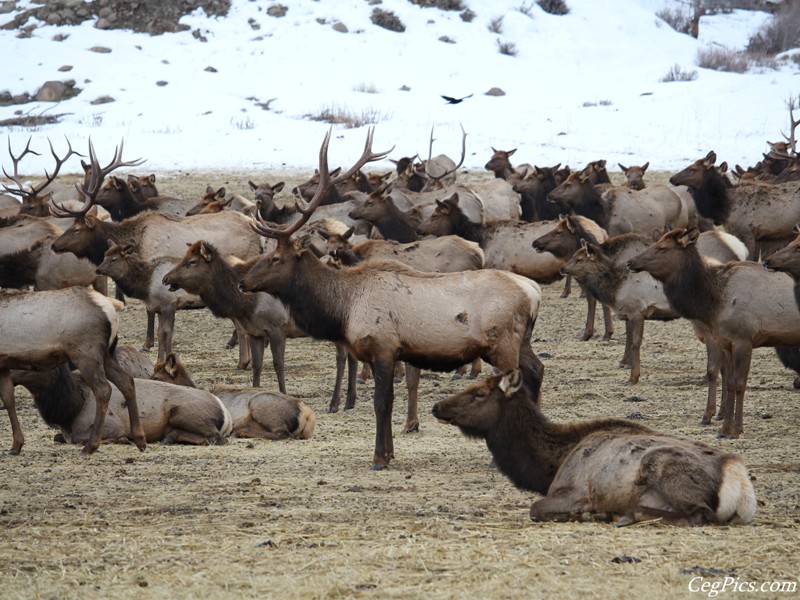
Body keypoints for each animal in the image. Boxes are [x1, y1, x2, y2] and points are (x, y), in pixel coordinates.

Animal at [0, 288, 145, 454]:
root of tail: (112, 306)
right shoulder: (2, 365)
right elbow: (8, 399)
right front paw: (16, 445)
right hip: (107, 354)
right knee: (127, 381)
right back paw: (140, 440)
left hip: (86, 354)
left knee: (103, 389)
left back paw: (90, 445)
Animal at [432, 366, 756, 524]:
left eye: (479, 393)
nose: (436, 406)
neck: (549, 467)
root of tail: (738, 478)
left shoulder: (571, 490)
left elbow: (535, 508)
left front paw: (583, 513)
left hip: (662, 467)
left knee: (700, 513)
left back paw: (626, 514)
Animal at [628, 227, 800, 438]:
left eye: (662, 248)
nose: (630, 262)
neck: (713, 303)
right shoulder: (725, 341)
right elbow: (729, 381)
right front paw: (723, 428)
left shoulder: (744, 339)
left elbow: (738, 382)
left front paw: (735, 429)